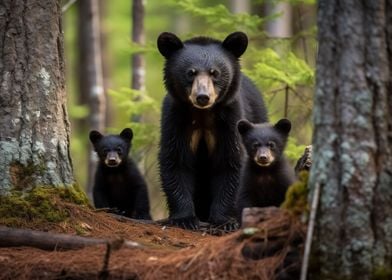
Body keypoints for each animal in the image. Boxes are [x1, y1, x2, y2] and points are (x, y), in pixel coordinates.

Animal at [158, 31, 268, 231]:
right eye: (191, 72)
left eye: (214, 73)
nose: (203, 97)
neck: (202, 114)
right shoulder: (176, 118)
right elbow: (175, 161)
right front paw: (185, 218)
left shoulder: (231, 120)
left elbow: (230, 162)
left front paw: (224, 220)